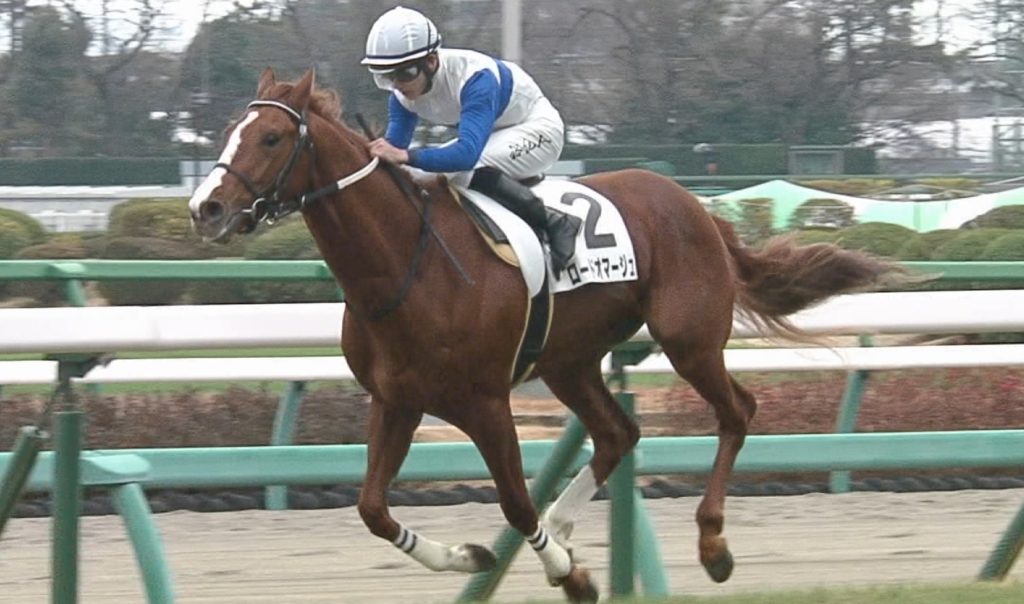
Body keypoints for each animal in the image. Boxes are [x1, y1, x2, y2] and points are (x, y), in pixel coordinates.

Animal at [190, 68, 897, 601]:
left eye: (272, 137)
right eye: (230, 132)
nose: (207, 208)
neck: (408, 264)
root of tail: (697, 206)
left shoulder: (485, 402)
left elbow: (514, 503)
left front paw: (570, 574)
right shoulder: (397, 400)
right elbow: (371, 509)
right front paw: (475, 557)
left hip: (688, 339)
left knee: (737, 412)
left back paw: (711, 542)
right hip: (570, 362)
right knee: (618, 433)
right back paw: (567, 522)